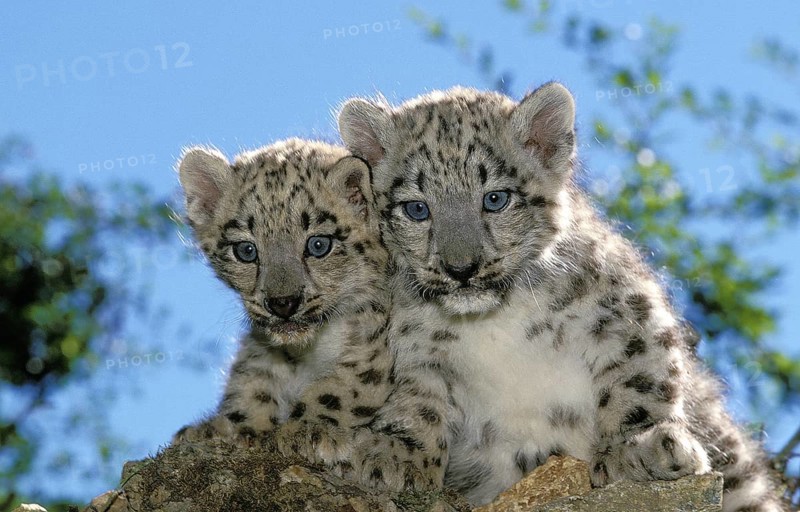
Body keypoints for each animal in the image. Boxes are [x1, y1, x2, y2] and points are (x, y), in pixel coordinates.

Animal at [171, 139, 395, 470]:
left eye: (319, 244)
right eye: (246, 250)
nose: (283, 303)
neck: (308, 352)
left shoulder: (376, 343)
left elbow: (344, 384)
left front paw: (308, 430)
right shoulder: (261, 344)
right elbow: (252, 380)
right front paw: (230, 426)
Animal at [337, 82, 785, 511]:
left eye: (495, 198)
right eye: (416, 208)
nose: (461, 269)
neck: (492, 321)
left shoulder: (625, 310)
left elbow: (641, 376)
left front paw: (636, 449)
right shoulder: (415, 347)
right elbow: (416, 399)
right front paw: (394, 453)